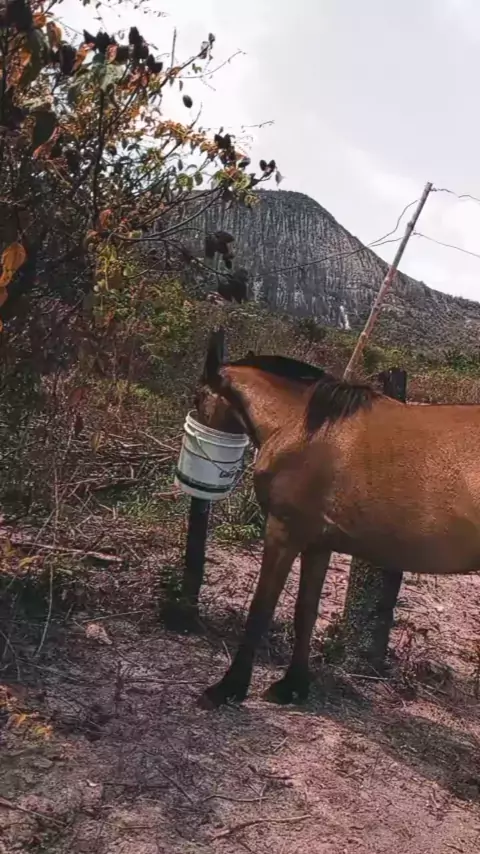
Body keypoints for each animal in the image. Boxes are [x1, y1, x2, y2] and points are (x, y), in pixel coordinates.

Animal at [194, 331, 480, 709]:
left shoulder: (282, 530)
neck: (303, 425)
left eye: (198, 398)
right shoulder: (318, 542)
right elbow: (306, 611)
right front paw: (292, 687)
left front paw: (228, 688)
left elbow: (261, 608)